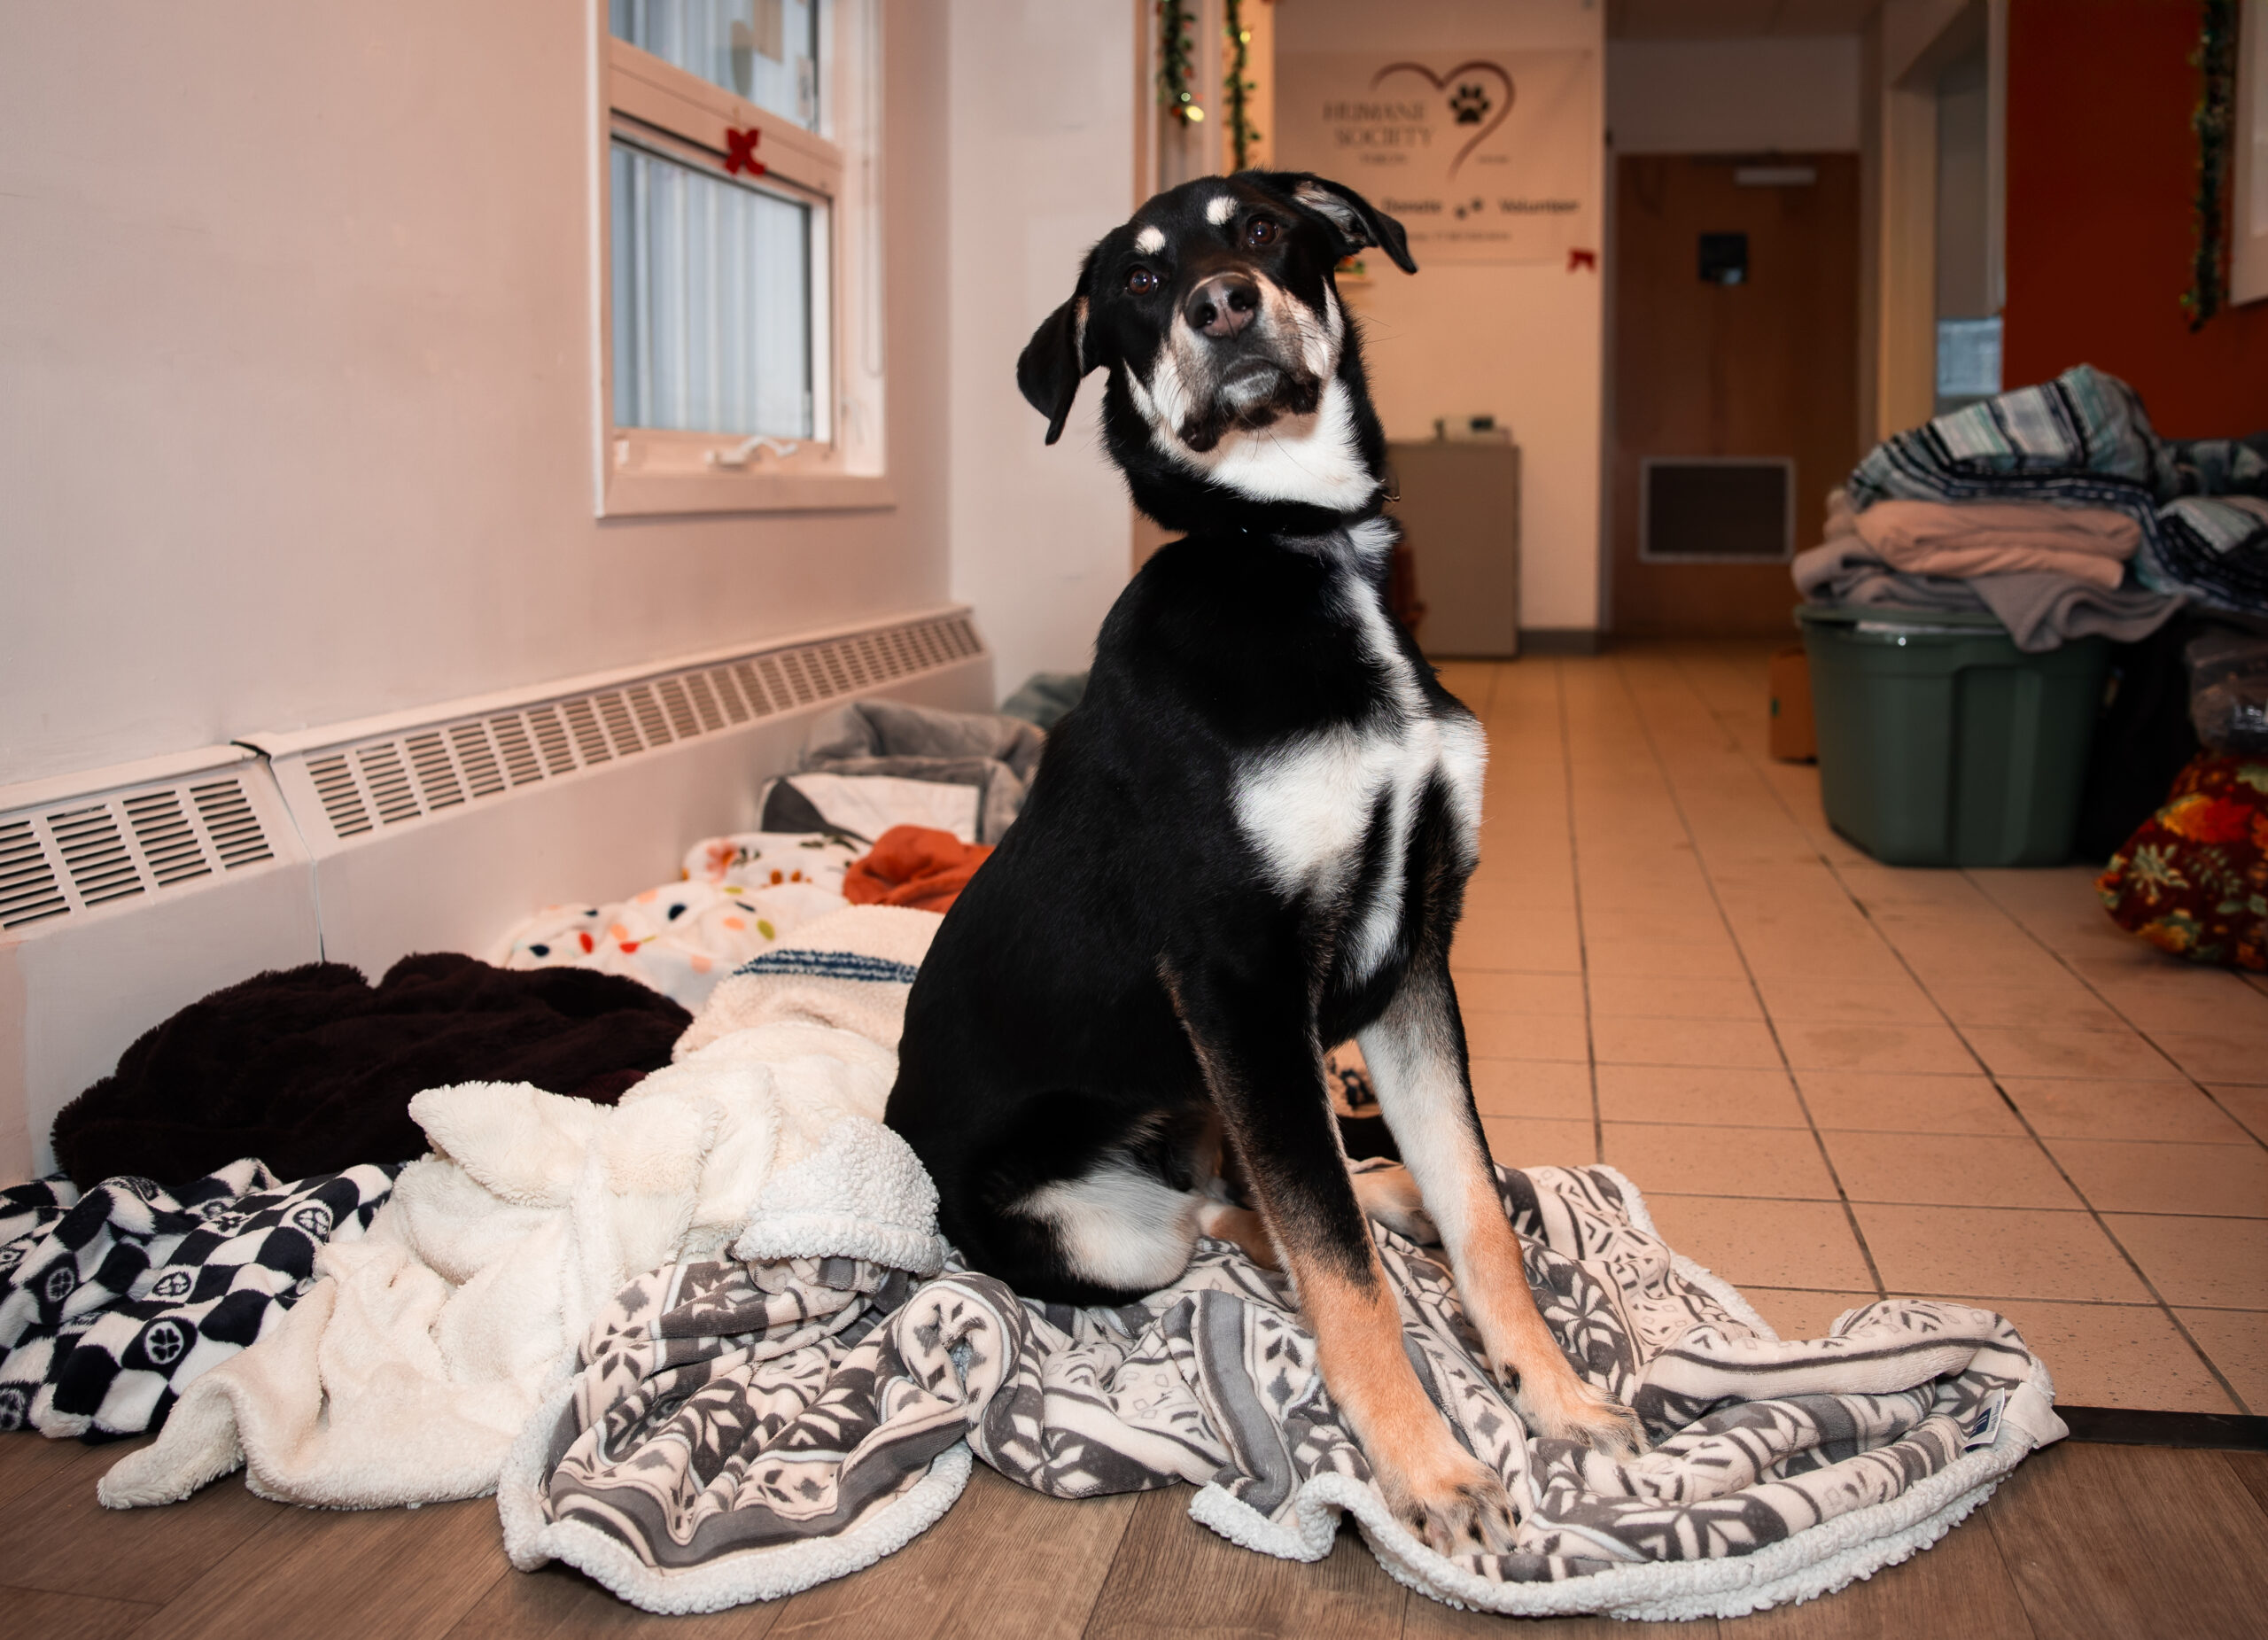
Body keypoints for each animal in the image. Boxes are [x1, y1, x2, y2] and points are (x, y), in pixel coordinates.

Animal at [884, 170, 1644, 1555]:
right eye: (1137, 281)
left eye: (1262, 229)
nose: (1220, 305)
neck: (1296, 541)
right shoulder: (1239, 976)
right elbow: (1337, 1265)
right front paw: (1427, 1472)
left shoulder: (1412, 957)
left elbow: (1477, 1208)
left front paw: (1554, 1394)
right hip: (1101, 1220)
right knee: (1222, 1218)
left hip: (1226, 1083)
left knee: (1249, 1183)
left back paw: (1382, 1186)